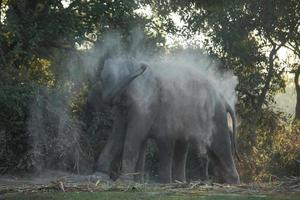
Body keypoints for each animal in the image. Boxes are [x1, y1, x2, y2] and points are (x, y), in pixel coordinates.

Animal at [94, 57, 239, 184]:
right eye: (103, 79)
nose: (143, 66)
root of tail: (225, 100)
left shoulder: (148, 103)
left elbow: (133, 136)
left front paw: (123, 181)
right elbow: (118, 135)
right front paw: (99, 176)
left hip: (216, 117)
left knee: (220, 146)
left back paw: (232, 183)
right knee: (206, 151)